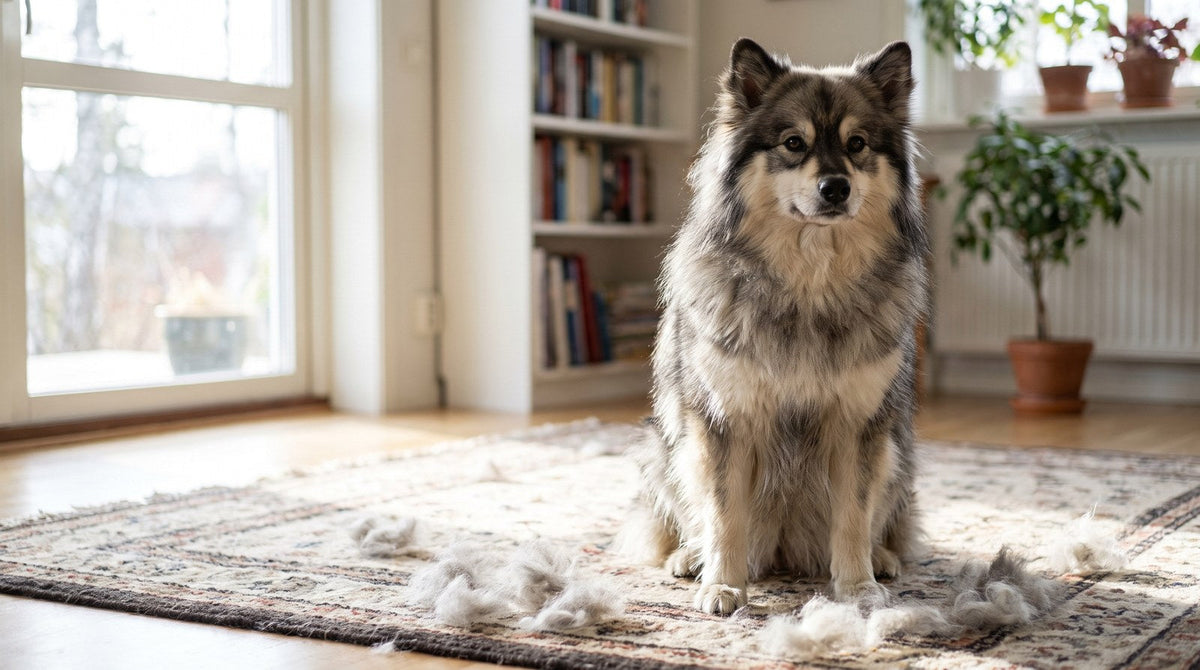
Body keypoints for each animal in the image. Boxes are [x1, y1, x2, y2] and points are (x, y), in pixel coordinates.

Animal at [630, 39, 929, 615]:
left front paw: (858, 588)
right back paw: (690, 558)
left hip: (897, 453)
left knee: (883, 523)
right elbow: (726, 517)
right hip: (669, 450)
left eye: (857, 144)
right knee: (688, 521)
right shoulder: (727, 420)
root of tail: (786, 552)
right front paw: (723, 585)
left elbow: (853, 518)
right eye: (794, 143)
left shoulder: (857, 425)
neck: (809, 284)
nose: (835, 187)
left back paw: (882, 558)